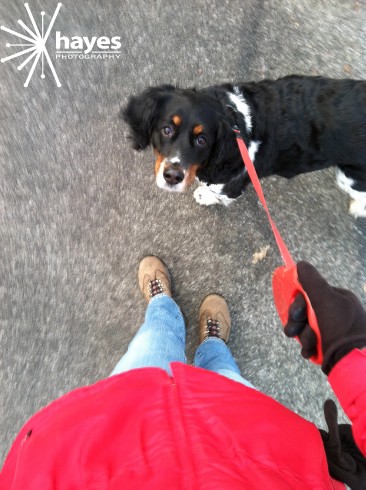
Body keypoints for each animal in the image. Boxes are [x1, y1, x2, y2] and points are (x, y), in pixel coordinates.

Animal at [123, 74, 366, 216]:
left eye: (202, 140)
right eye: (167, 129)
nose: (173, 177)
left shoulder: (231, 184)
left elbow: (219, 194)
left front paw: (205, 196)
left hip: (350, 177)